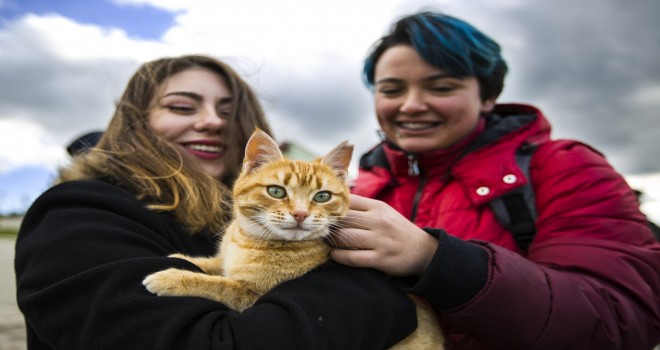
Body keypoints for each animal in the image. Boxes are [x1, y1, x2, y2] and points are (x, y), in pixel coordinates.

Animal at [143, 130, 444, 348]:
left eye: (322, 196)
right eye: (276, 191)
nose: (300, 214)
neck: (249, 239)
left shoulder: (251, 296)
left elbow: (217, 285)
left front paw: (171, 278)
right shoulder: (228, 262)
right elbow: (214, 265)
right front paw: (182, 258)